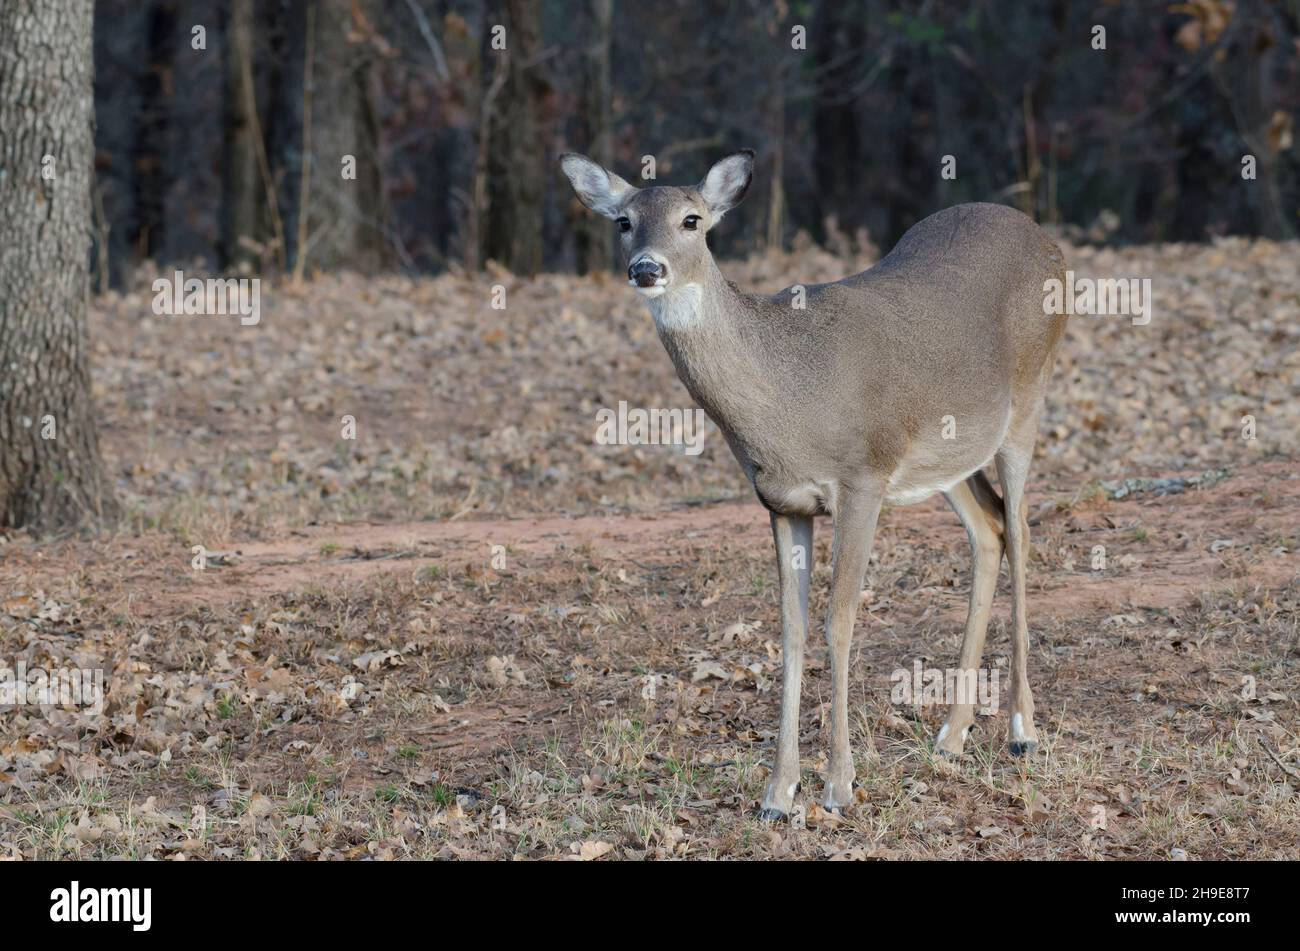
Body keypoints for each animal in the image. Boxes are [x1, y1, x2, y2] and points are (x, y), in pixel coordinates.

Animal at [560, 149, 1067, 820]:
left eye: (692, 220)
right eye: (622, 221)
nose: (646, 267)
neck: (787, 403)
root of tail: (1043, 238)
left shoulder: (862, 479)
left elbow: (839, 620)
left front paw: (839, 786)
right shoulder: (781, 501)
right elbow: (791, 628)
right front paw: (779, 792)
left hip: (1029, 398)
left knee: (1023, 530)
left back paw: (1021, 729)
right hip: (946, 454)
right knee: (989, 531)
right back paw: (952, 734)